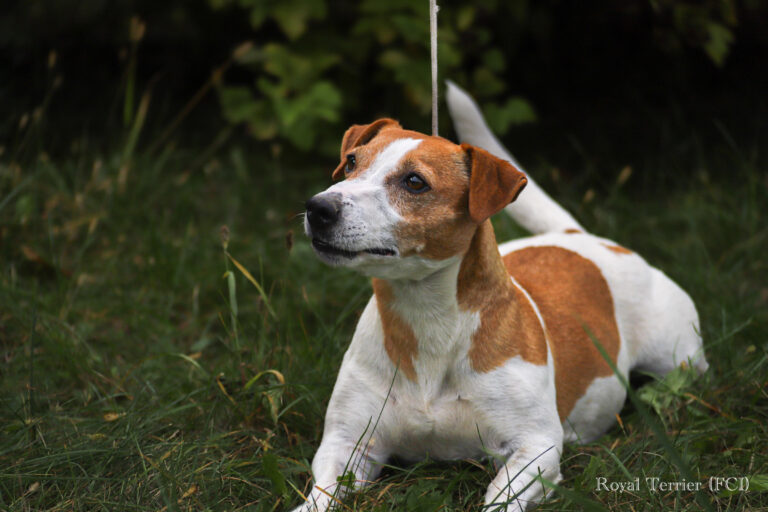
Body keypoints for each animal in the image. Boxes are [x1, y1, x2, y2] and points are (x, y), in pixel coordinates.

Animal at [294, 82, 708, 510]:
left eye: (414, 182)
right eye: (351, 162)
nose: (318, 207)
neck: (429, 320)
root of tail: (582, 237)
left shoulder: (536, 448)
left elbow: (501, 497)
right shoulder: (346, 443)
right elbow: (321, 495)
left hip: (677, 358)